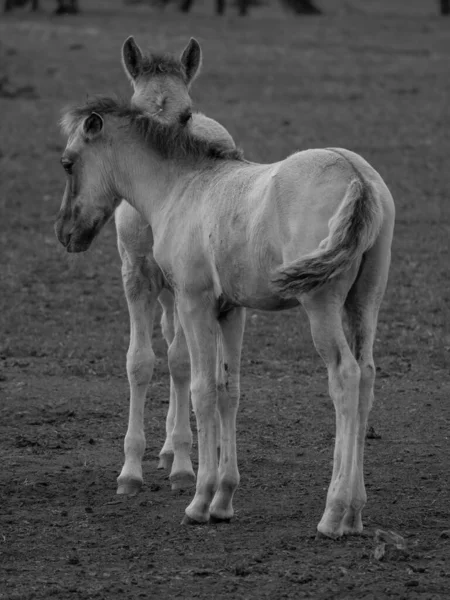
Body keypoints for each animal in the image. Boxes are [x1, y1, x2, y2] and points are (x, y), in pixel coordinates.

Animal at [55, 97, 394, 540]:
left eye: (68, 162)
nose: (64, 233)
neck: (183, 188)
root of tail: (357, 175)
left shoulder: (192, 302)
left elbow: (201, 391)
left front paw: (199, 502)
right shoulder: (231, 311)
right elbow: (227, 391)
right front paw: (223, 500)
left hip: (321, 305)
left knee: (345, 377)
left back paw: (334, 513)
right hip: (364, 302)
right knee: (367, 377)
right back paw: (355, 513)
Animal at [115, 37, 236, 492]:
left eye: (184, 115)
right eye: (136, 113)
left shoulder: (187, 282)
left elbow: (181, 363)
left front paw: (186, 466)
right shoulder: (135, 274)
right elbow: (140, 362)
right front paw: (130, 472)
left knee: (196, 359)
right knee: (167, 336)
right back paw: (165, 448)